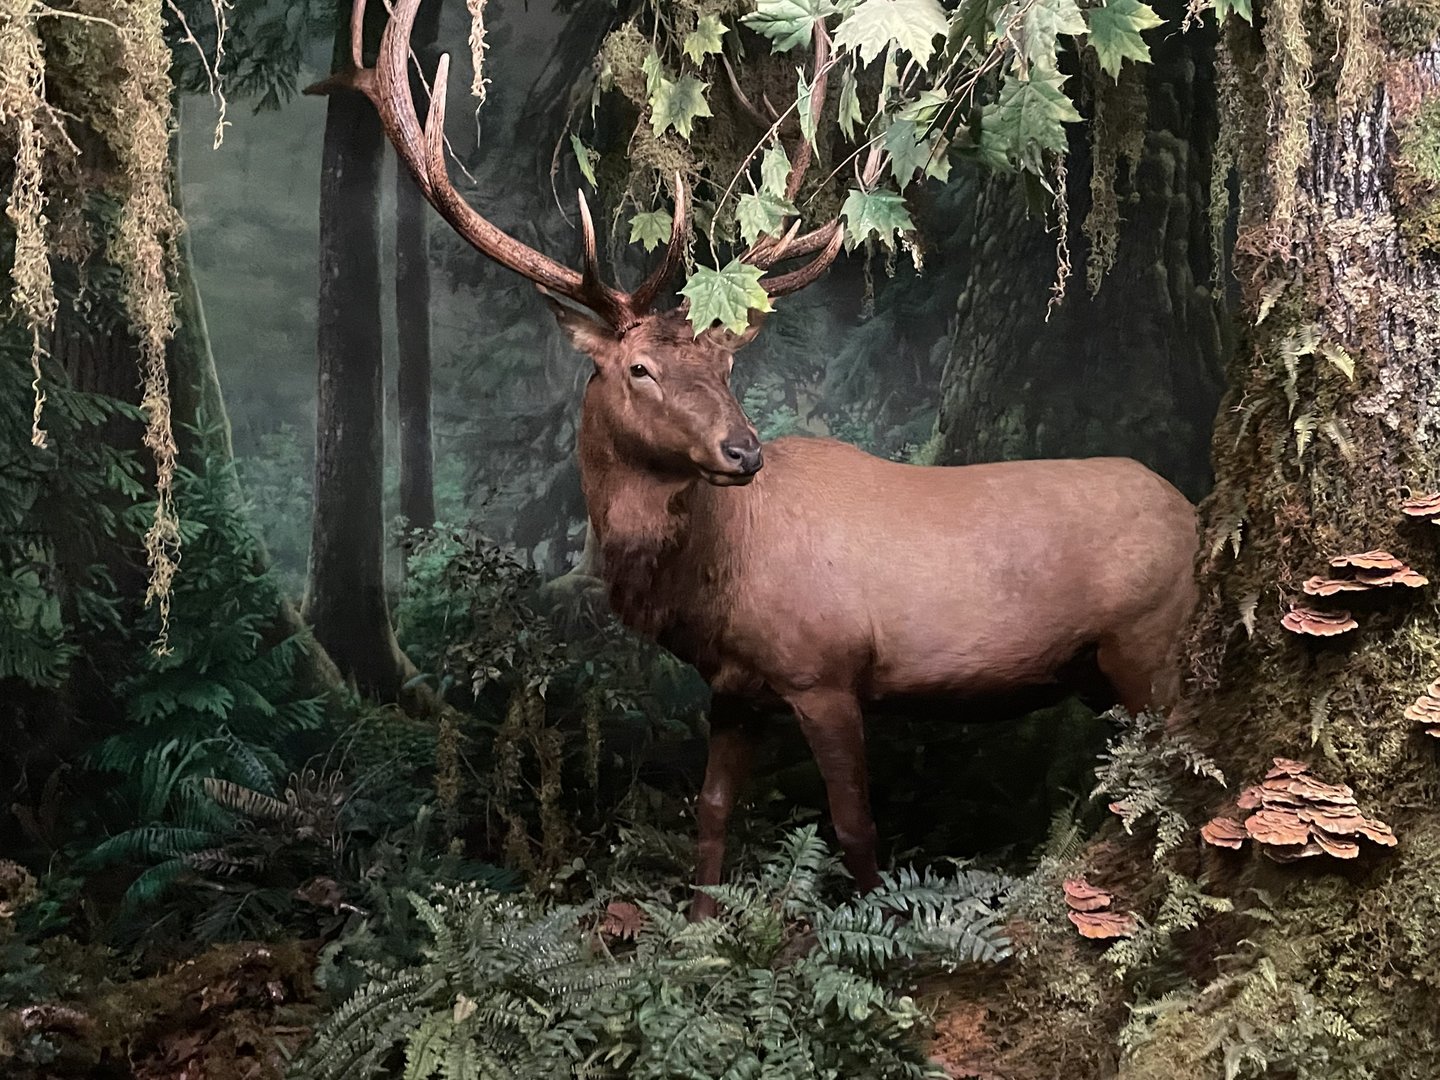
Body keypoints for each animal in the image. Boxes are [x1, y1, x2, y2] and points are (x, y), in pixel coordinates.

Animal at [328, 0, 1200, 920]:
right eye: (639, 369)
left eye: (726, 366)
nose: (741, 451)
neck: (711, 583)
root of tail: (1198, 512)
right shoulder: (734, 686)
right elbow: (711, 812)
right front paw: (700, 929)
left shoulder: (826, 671)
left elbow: (855, 827)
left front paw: (873, 921)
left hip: (1150, 643)